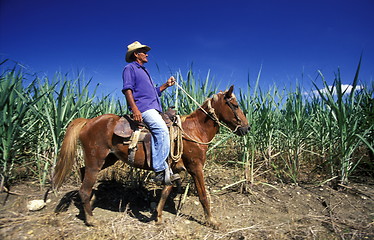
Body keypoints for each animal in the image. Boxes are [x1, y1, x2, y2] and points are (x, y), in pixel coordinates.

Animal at [52, 85, 250, 229]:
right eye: (235, 105)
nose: (247, 128)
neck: (195, 130)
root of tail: (88, 121)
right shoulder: (196, 167)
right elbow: (203, 195)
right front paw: (212, 221)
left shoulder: (173, 169)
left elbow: (166, 191)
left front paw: (159, 217)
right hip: (96, 160)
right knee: (84, 187)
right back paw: (91, 219)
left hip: (108, 158)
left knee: (82, 171)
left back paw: (91, 201)